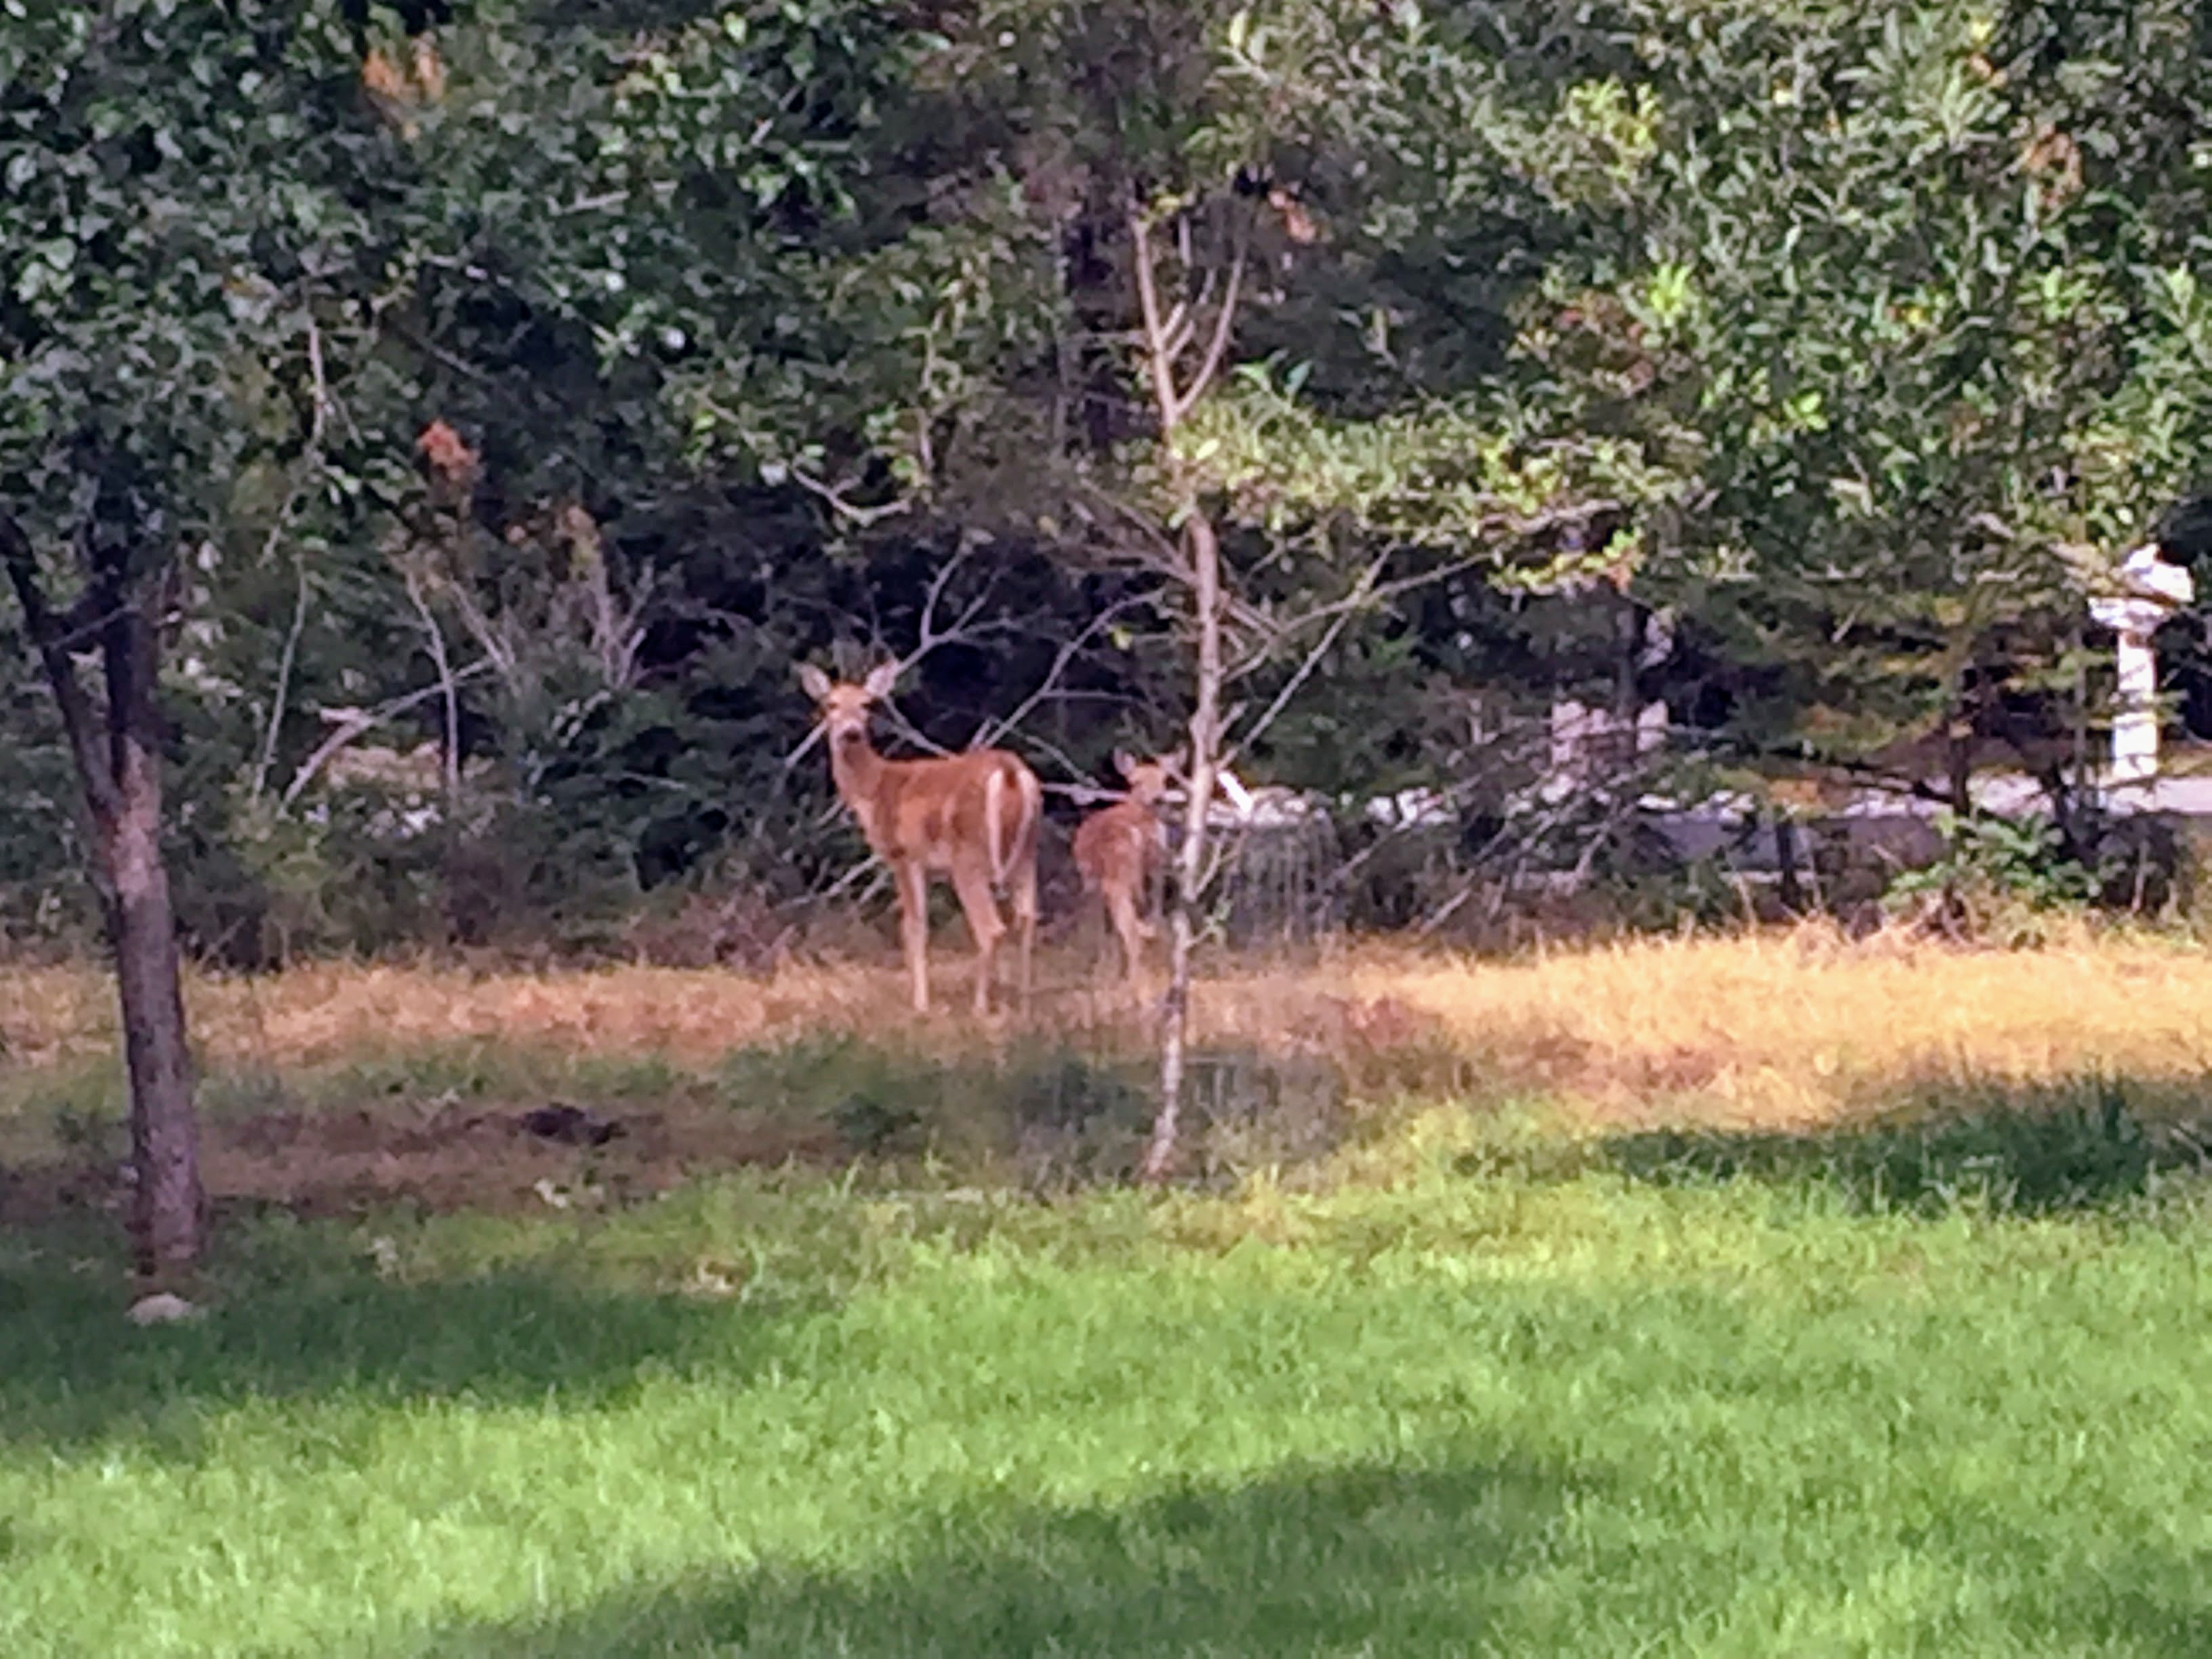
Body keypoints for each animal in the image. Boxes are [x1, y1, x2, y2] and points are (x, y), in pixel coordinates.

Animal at [797, 660, 1042, 1016]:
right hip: (1027, 851)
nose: (851, 733)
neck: (873, 790)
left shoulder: (903, 855)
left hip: (970, 856)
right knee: (1027, 919)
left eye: (866, 705)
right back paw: (1024, 1005)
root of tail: (1009, 772)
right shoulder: (928, 865)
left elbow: (914, 926)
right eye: (831, 704)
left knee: (992, 928)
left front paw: (920, 1004)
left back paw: (979, 1008)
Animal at [1072, 751, 1177, 988]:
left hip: (1116, 879)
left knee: (1132, 932)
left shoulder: (1090, 881)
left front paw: (1102, 967)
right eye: (1136, 781)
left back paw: (1133, 982)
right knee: (1156, 917)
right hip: (1156, 867)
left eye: (1164, 781)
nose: (1158, 799)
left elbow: (1099, 926)